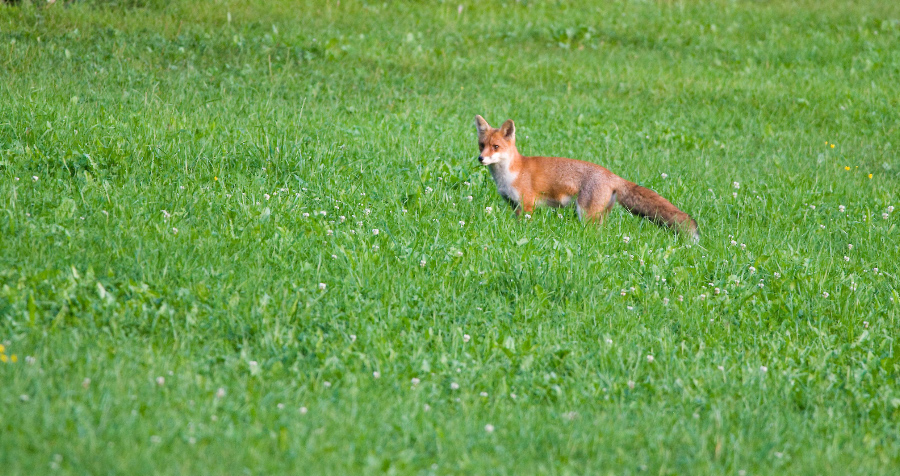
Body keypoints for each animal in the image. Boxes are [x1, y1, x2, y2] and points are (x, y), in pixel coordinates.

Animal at [475, 115, 699, 241]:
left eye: (495, 147)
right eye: (481, 145)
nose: (481, 158)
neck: (510, 173)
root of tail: (612, 175)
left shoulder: (527, 205)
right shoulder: (514, 206)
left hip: (585, 214)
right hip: (598, 216)